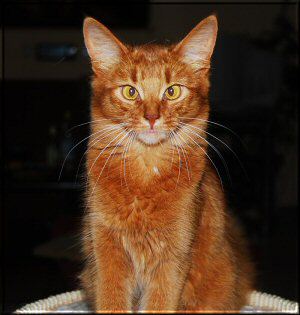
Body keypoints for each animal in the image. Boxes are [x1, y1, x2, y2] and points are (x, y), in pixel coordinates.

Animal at [79, 15, 253, 314]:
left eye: (172, 92)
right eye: (130, 91)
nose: (151, 117)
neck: (145, 174)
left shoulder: (174, 255)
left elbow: (160, 303)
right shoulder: (104, 247)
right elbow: (111, 300)